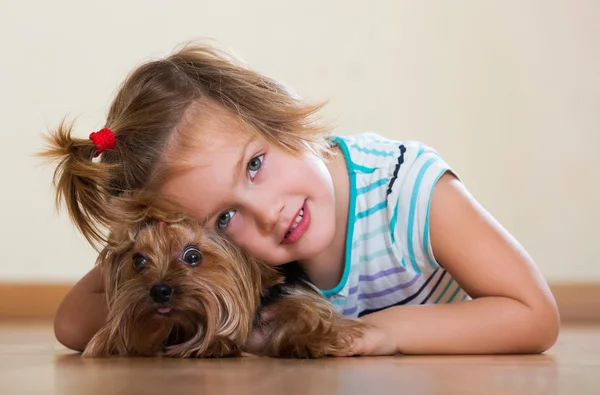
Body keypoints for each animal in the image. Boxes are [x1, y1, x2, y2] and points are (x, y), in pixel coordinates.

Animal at [83, 198, 366, 358]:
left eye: (193, 256)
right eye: (139, 261)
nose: (159, 291)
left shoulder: (293, 293)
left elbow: (307, 311)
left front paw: (306, 340)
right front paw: (214, 342)